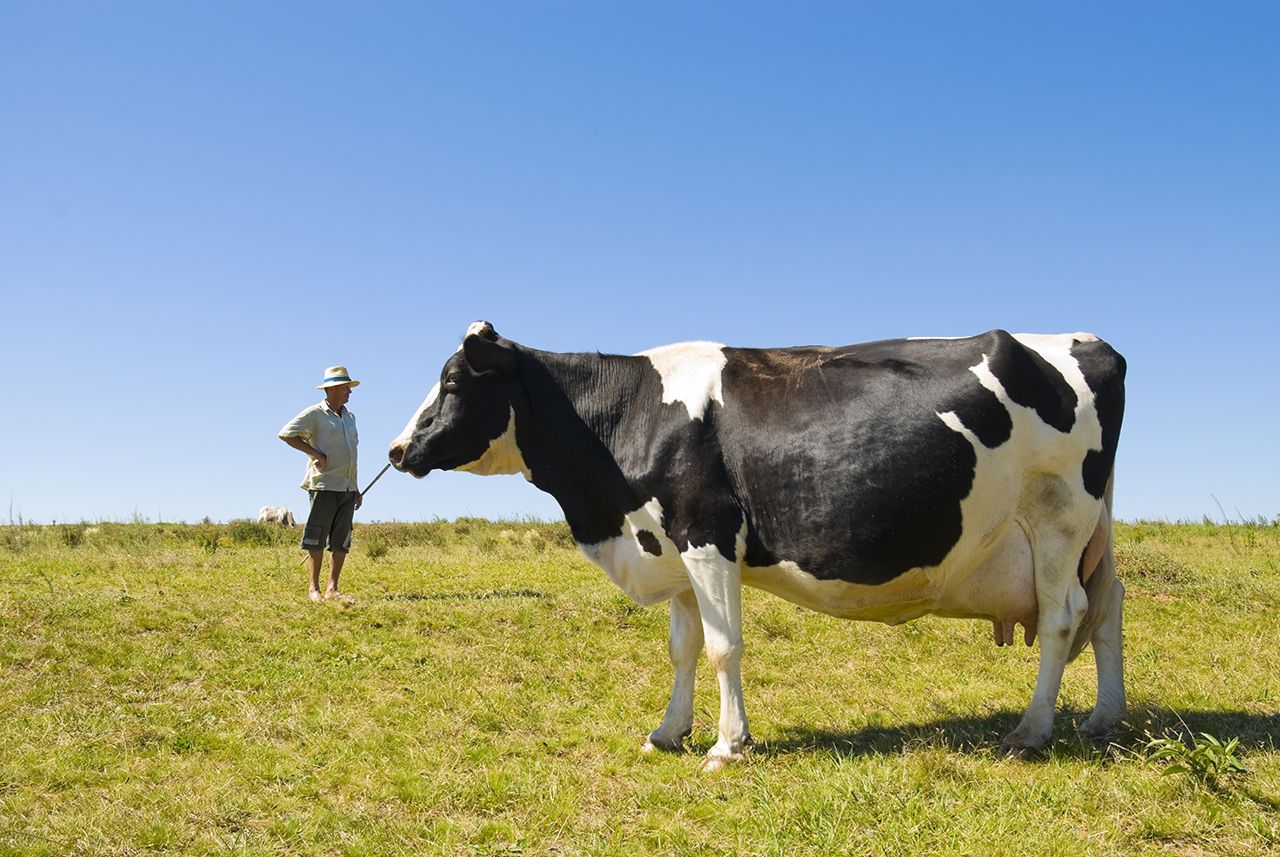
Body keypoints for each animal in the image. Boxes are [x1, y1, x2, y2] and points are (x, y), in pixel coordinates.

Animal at [389, 321, 1126, 770]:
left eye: (453, 383)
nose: (397, 449)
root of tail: (1089, 342)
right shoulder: (672, 548)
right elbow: (683, 647)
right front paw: (668, 732)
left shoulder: (707, 535)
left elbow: (723, 647)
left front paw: (728, 745)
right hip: (1092, 529)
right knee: (1108, 604)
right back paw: (1104, 716)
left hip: (1058, 517)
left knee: (1063, 617)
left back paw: (1031, 731)